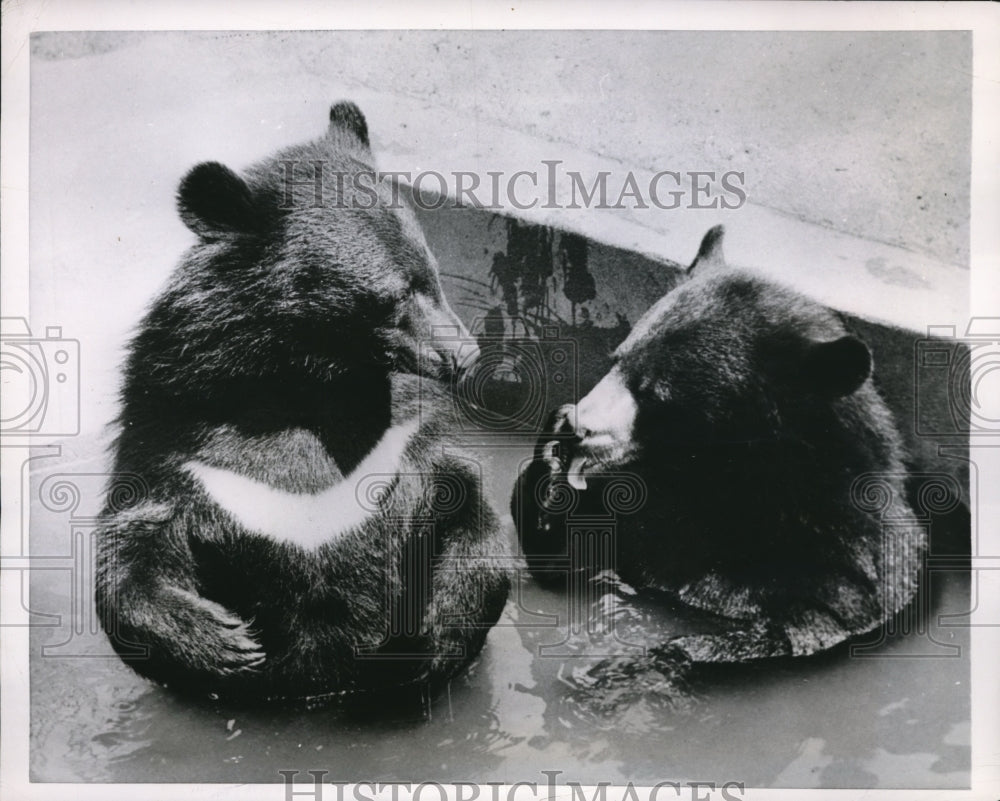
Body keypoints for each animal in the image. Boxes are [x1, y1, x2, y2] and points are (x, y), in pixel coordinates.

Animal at [95, 102, 511, 702]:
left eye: (431, 274)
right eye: (395, 295)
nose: (464, 355)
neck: (310, 380)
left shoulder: (412, 444)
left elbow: (472, 511)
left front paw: (425, 639)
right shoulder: (174, 433)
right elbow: (132, 545)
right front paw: (231, 644)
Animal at [512, 225, 927, 694]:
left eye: (653, 393)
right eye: (616, 360)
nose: (580, 428)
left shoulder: (841, 575)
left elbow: (796, 633)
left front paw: (628, 669)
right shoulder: (647, 514)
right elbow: (573, 555)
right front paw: (550, 466)